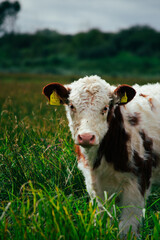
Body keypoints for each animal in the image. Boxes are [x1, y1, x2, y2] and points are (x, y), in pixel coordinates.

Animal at [42, 75, 160, 236]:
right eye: (72, 106)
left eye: (105, 108)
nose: (86, 137)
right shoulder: (95, 185)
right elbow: (103, 219)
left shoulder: (137, 183)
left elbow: (127, 227)